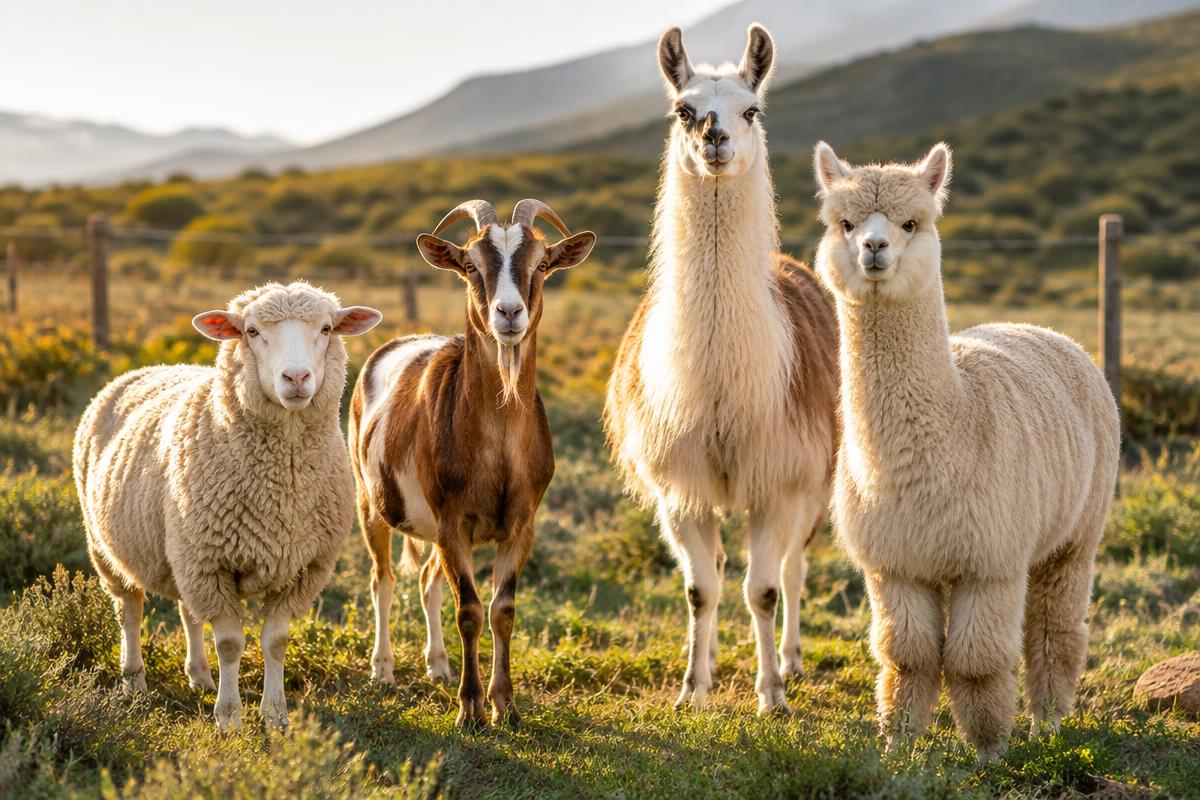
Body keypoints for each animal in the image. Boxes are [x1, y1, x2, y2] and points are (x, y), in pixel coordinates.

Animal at [73, 281, 381, 731]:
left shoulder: (298, 568)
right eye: (251, 331)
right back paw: (134, 682)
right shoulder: (212, 564)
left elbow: (275, 642)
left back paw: (199, 676)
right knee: (129, 610)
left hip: (183, 551)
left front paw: (275, 714)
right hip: (108, 547)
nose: (296, 377)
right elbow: (232, 644)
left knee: (187, 612)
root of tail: (147, 367)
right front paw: (230, 717)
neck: (282, 486)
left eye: (326, 329)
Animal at [348, 199, 595, 729]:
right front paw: (470, 709)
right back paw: (384, 668)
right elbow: (469, 610)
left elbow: (502, 610)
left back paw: (438, 665)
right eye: (471, 266)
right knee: (383, 580)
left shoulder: (521, 525)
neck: (498, 446)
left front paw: (506, 705)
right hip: (370, 501)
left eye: (541, 264)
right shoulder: (452, 522)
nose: (509, 313)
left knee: (426, 582)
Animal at [604, 25, 839, 714]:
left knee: (793, 568)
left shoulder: (780, 478)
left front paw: (773, 696)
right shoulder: (679, 486)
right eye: (684, 109)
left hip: (816, 480)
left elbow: (763, 589)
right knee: (718, 572)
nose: (714, 135)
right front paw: (691, 691)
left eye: (751, 110)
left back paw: (791, 660)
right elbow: (700, 591)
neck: (717, 389)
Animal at [812, 141, 1120, 758]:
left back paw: (1048, 727)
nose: (874, 248)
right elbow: (907, 657)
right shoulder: (895, 563)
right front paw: (899, 746)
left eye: (912, 222)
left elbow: (976, 662)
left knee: (1053, 630)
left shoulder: (991, 561)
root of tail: (1045, 331)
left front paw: (989, 751)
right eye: (845, 224)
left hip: (1077, 533)